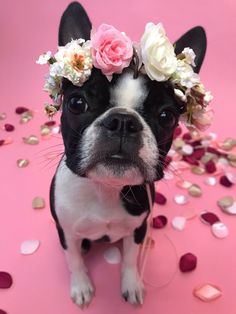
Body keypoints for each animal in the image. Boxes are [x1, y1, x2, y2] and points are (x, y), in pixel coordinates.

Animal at [50, 1, 206, 308]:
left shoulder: (138, 230)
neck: (105, 189)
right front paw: (81, 286)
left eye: (166, 116)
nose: (123, 121)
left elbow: (131, 261)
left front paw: (132, 284)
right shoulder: (67, 232)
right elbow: (74, 260)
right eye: (77, 103)